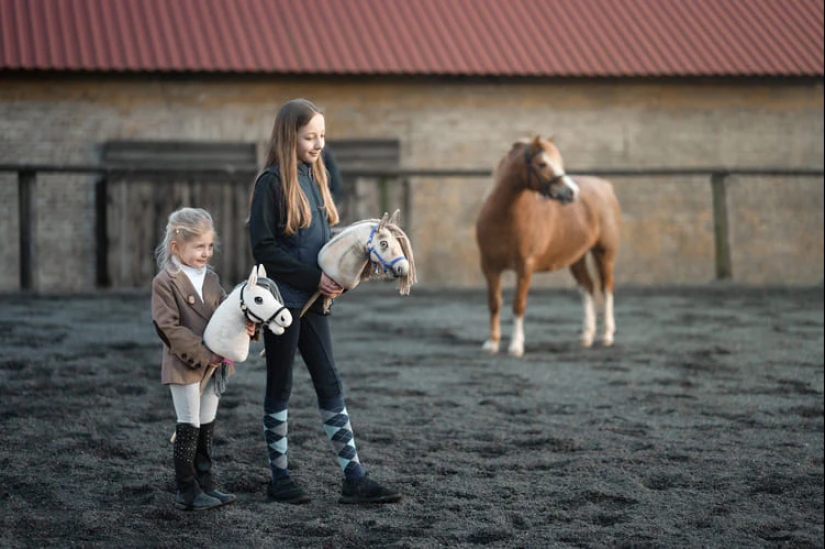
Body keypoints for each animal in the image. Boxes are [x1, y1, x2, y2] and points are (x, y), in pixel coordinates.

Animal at [474, 137, 620, 356]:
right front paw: (492, 343)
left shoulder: (525, 267)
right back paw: (586, 336)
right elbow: (494, 303)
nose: (572, 192)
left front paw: (516, 346)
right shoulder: (489, 266)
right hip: (576, 257)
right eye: (542, 164)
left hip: (604, 253)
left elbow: (518, 304)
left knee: (606, 287)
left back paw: (606, 336)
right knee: (587, 286)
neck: (504, 218)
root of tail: (605, 185)